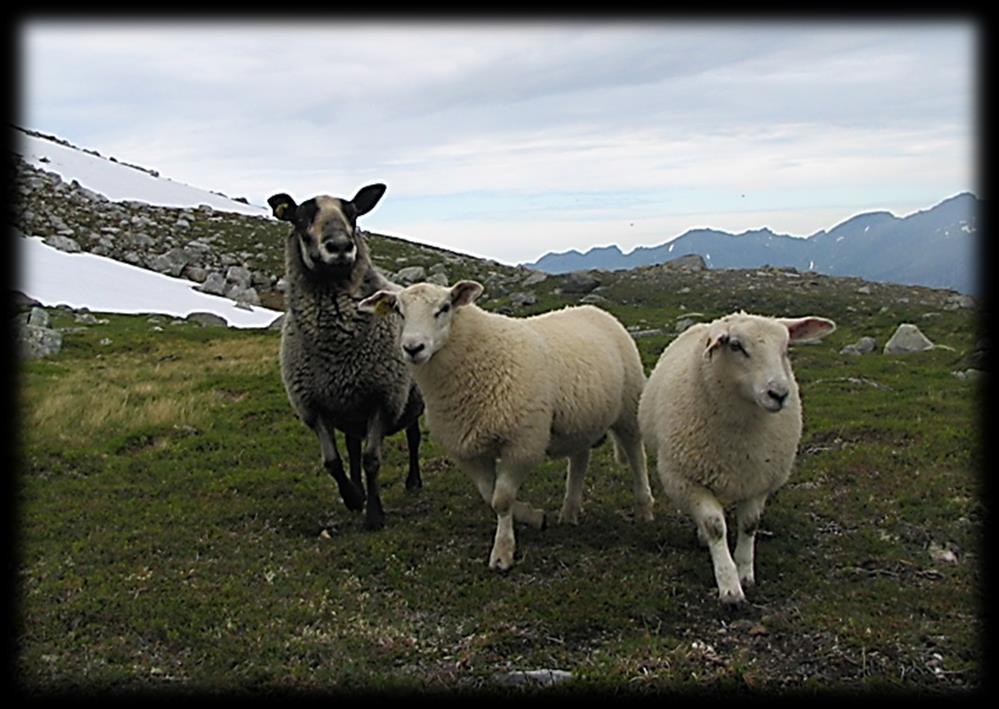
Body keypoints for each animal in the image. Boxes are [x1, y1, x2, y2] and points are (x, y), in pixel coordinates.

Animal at [268, 185, 424, 528]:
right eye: (301, 217)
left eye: (352, 214)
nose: (340, 246)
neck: (336, 349)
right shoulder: (312, 405)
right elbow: (332, 461)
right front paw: (353, 498)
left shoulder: (384, 398)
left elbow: (372, 459)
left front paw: (374, 515)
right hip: (350, 410)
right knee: (351, 449)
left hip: (409, 399)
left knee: (414, 437)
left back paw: (414, 482)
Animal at [360, 280, 656, 568]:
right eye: (399, 311)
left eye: (444, 308)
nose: (413, 348)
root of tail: (592, 309)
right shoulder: (469, 450)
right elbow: (489, 495)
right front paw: (533, 517)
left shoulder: (521, 443)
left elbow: (501, 499)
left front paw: (502, 552)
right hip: (579, 420)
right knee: (580, 459)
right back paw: (569, 512)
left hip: (629, 406)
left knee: (636, 454)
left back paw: (644, 508)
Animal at [640, 310, 836, 604]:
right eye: (735, 345)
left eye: (785, 348)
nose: (779, 394)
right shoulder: (685, 479)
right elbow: (715, 526)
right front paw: (729, 586)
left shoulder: (759, 479)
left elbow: (749, 524)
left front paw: (745, 573)